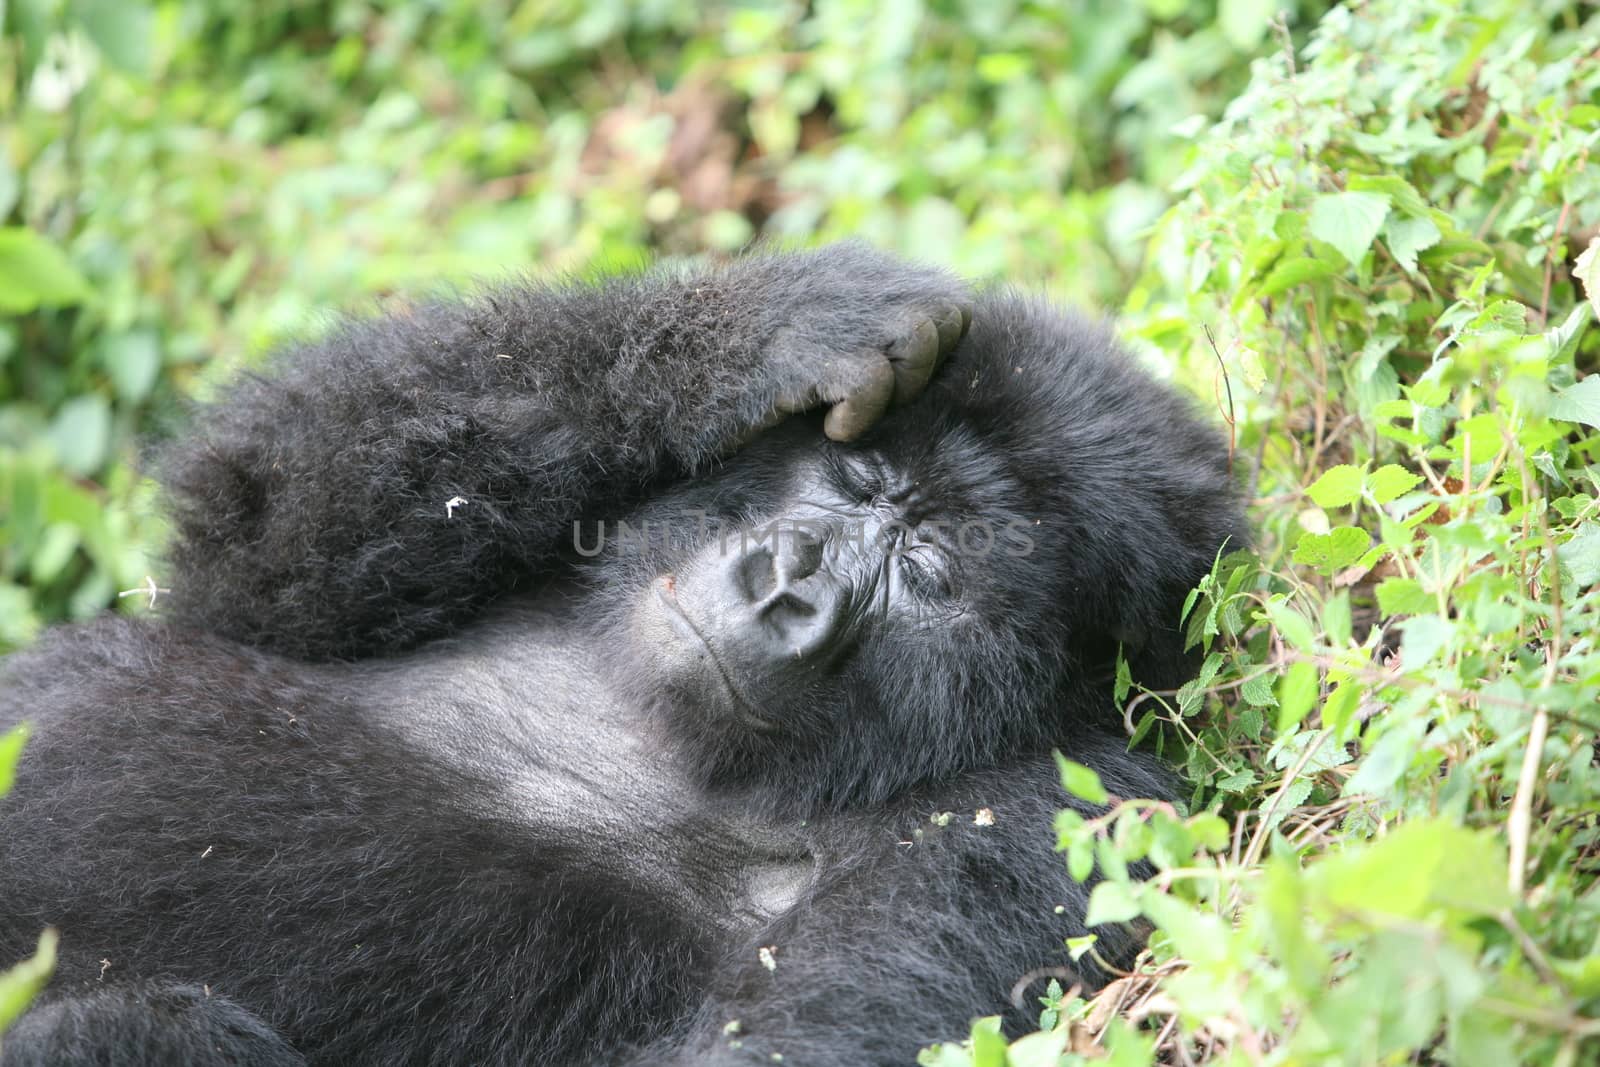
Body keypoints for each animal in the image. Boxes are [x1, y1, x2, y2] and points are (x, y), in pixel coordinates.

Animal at [0, 244, 1241, 1067]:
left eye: (930, 571)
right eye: (858, 480)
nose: (789, 583)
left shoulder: (1060, 815)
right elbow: (247, 545)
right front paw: (764, 331)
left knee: (123, 1029)